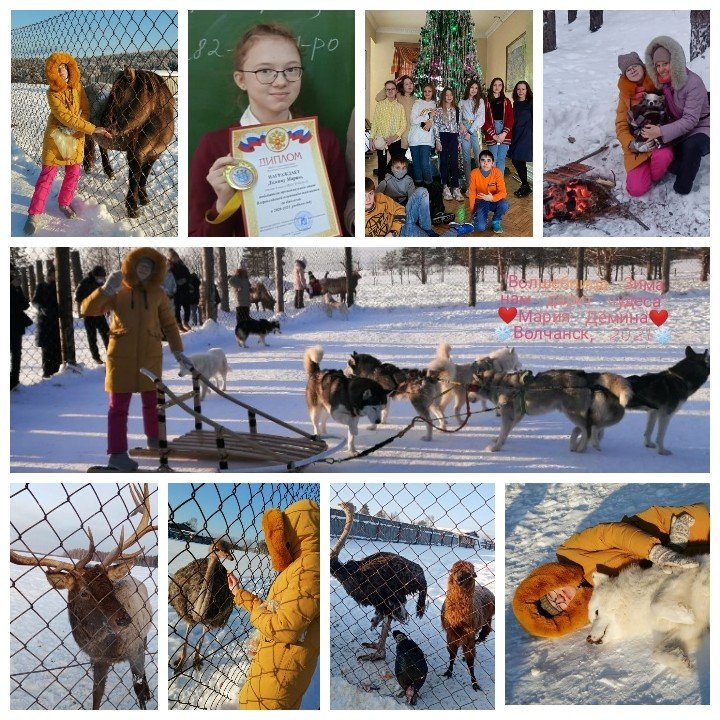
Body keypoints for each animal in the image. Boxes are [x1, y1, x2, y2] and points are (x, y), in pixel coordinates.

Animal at [9, 484, 157, 708]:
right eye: (84, 592)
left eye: (111, 586)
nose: (124, 619)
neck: (106, 647)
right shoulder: (97, 660)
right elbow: (96, 697)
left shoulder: (135, 647)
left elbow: (138, 689)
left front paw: (146, 695)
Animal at [83, 69, 174, 218]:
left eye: (118, 95)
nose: (103, 122)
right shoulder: (135, 155)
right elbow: (134, 179)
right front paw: (133, 208)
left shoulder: (154, 155)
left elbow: (144, 176)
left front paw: (144, 198)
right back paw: (87, 166)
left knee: (102, 148)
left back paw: (109, 171)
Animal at [476, 368, 632, 452]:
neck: (498, 383)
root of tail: (583, 375)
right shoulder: (517, 416)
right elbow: (505, 433)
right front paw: (499, 441)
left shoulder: (508, 415)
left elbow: (503, 432)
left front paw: (495, 448)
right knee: (587, 429)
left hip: (572, 413)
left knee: (587, 430)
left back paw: (580, 448)